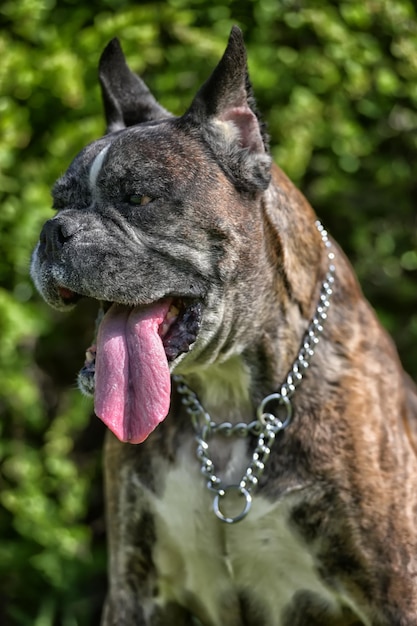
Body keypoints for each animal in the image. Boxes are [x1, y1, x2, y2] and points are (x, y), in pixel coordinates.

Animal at [30, 25, 416, 624]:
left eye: (138, 198)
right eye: (57, 202)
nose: (52, 231)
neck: (228, 398)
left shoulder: (396, 590)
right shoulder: (134, 591)